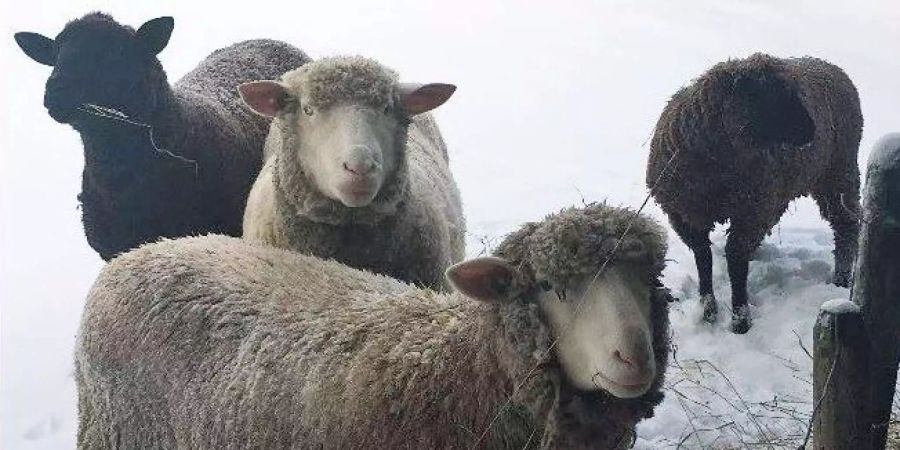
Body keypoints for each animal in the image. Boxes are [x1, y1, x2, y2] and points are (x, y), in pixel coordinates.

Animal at [647, 53, 862, 333]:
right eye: (771, 96)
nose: (812, 132)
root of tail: (831, 66)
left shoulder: (750, 212)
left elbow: (736, 261)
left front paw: (740, 319)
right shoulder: (685, 215)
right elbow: (704, 258)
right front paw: (708, 308)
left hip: (838, 174)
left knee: (846, 226)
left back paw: (841, 280)